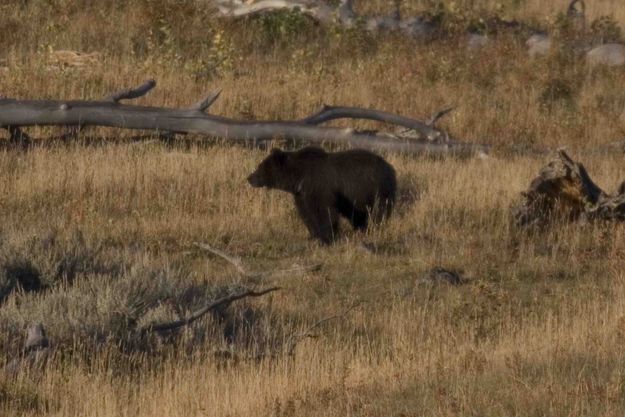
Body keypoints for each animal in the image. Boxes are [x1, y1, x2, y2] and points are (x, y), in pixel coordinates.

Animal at [247, 146, 398, 244]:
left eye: (260, 167)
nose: (249, 178)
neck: (299, 177)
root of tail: (390, 168)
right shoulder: (302, 193)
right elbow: (307, 213)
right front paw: (313, 235)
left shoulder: (319, 186)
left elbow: (324, 211)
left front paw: (327, 238)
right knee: (359, 214)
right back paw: (361, 229)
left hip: (378, 190)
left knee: (379, 212)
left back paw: (374, 228)